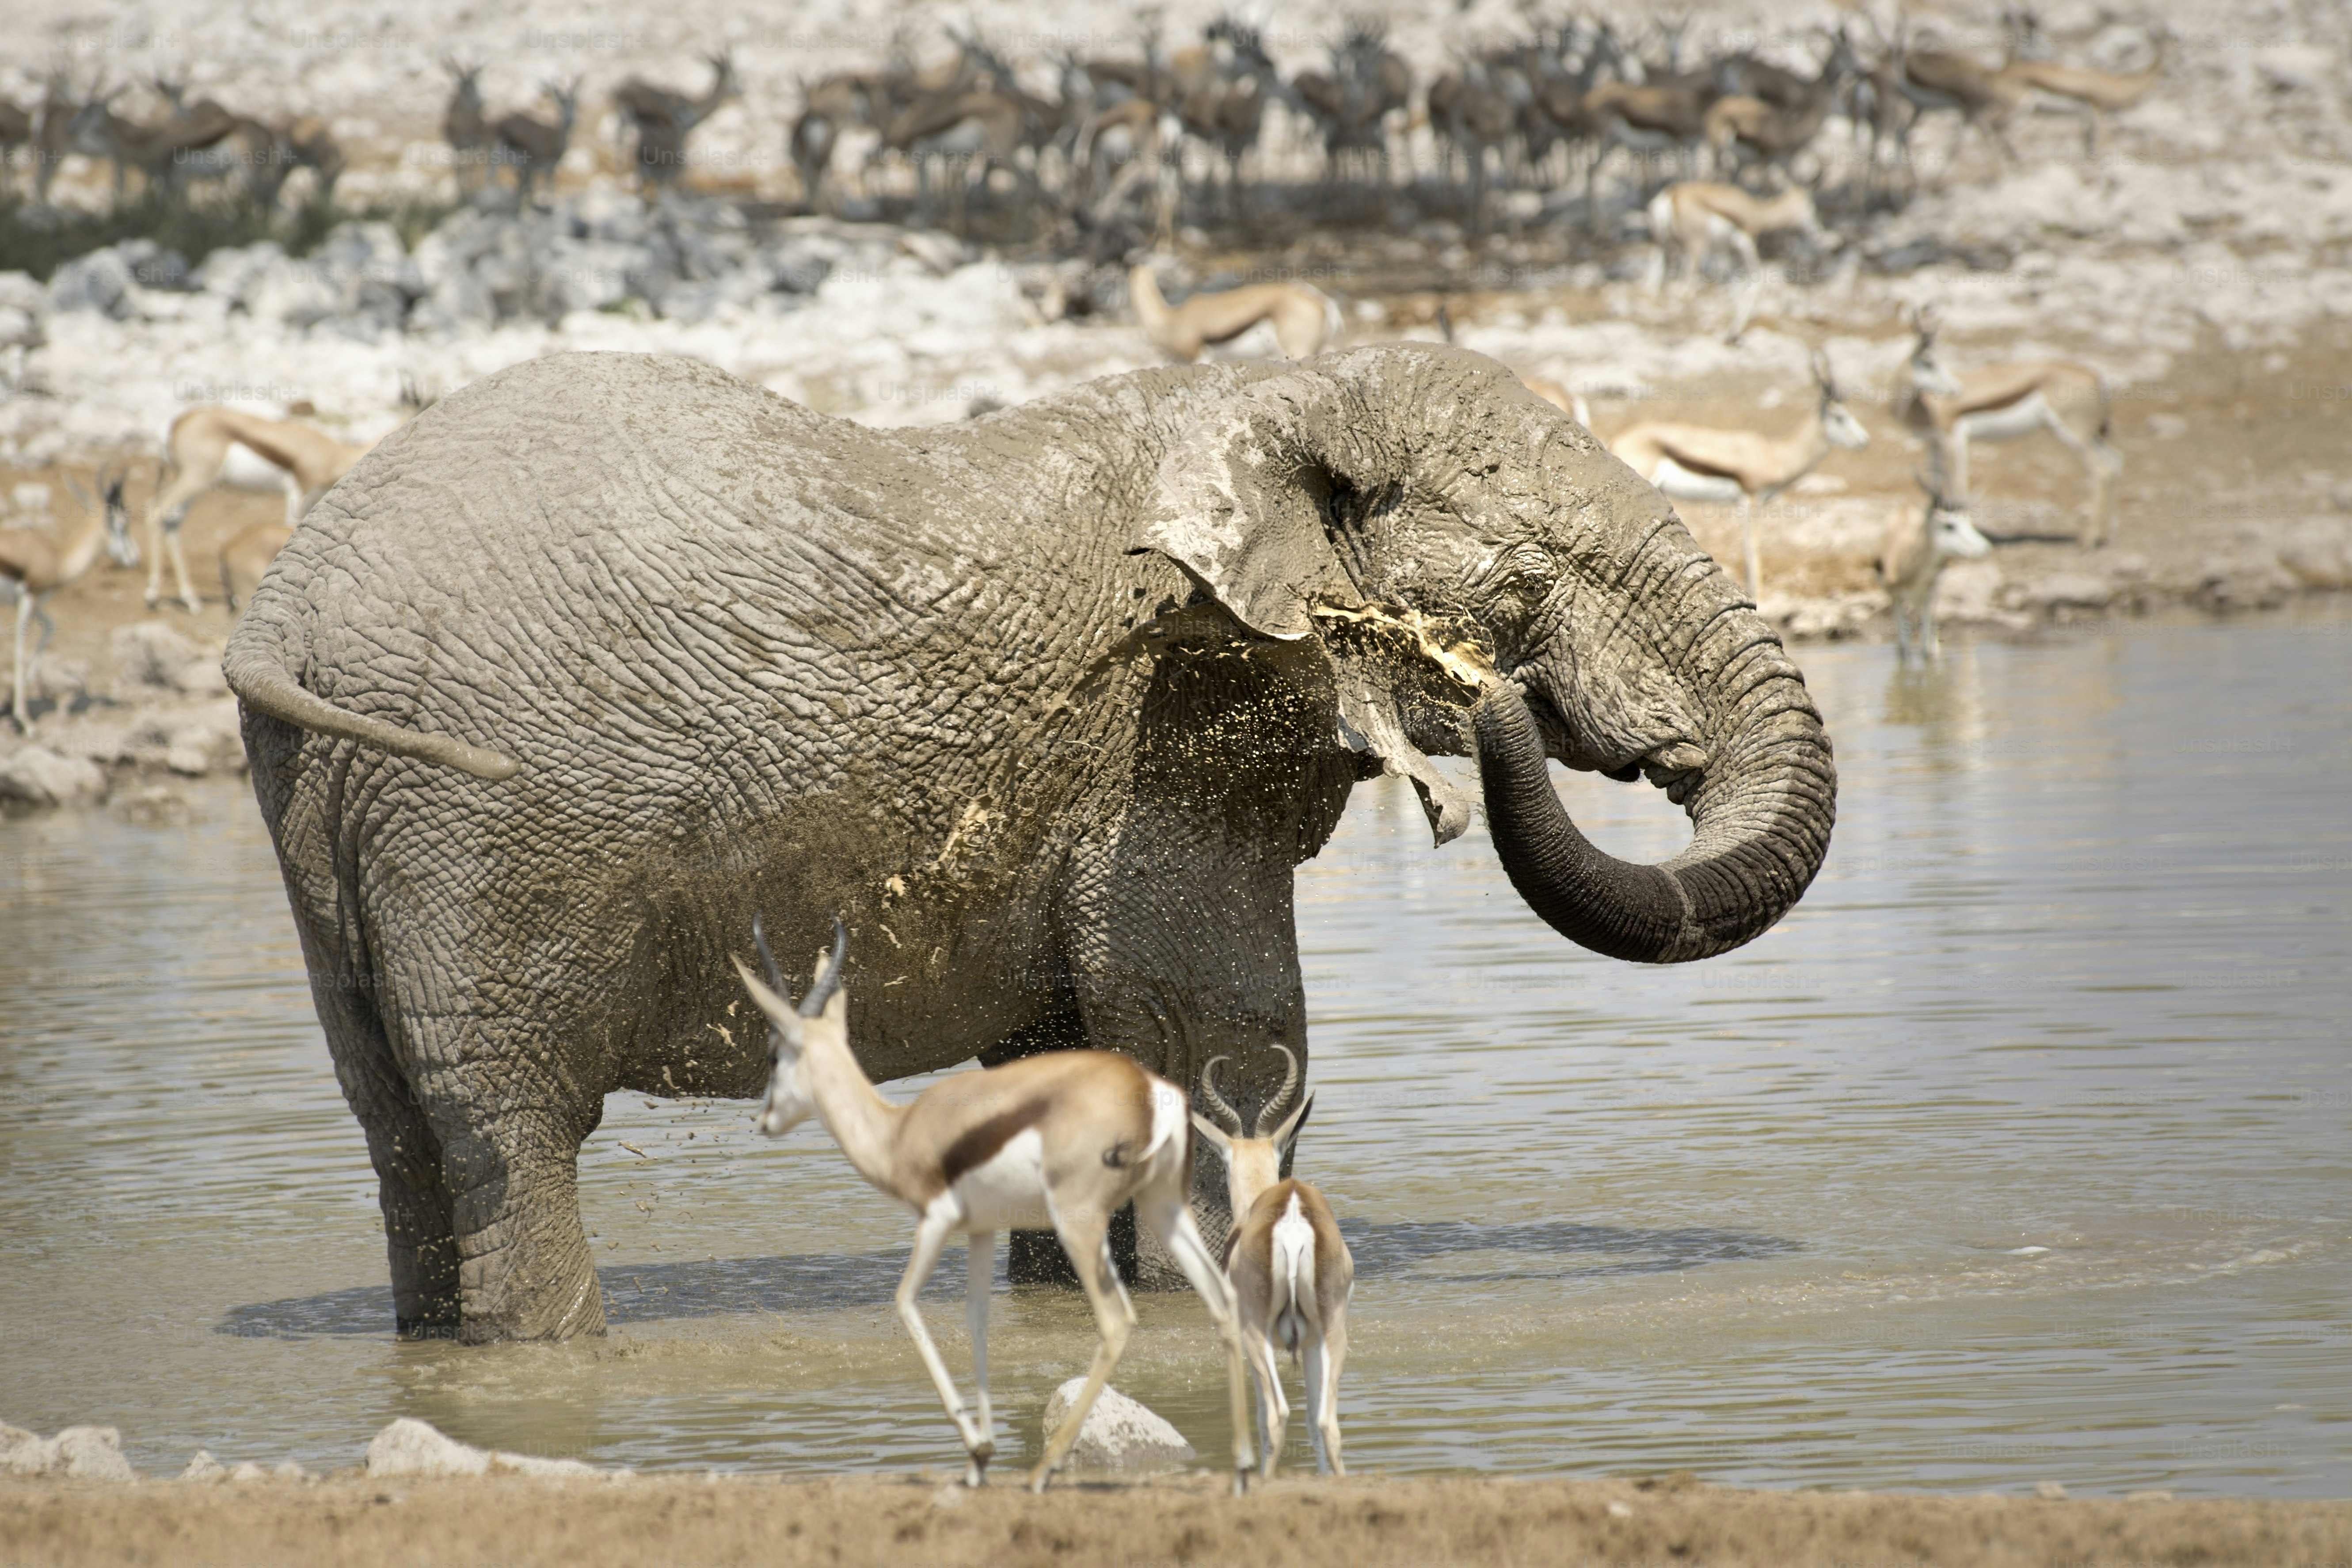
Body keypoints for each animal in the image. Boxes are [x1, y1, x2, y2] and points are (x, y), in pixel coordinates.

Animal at [223, 343, 1836, 1343]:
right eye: (1524, 584)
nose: (1488, 694)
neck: (1258, 399)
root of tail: (278, 605)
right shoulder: (1164, 746)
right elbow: (1231, 1051)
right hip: (470, 828)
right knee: (507, 1130)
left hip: (331, 813)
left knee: (401, 1130)